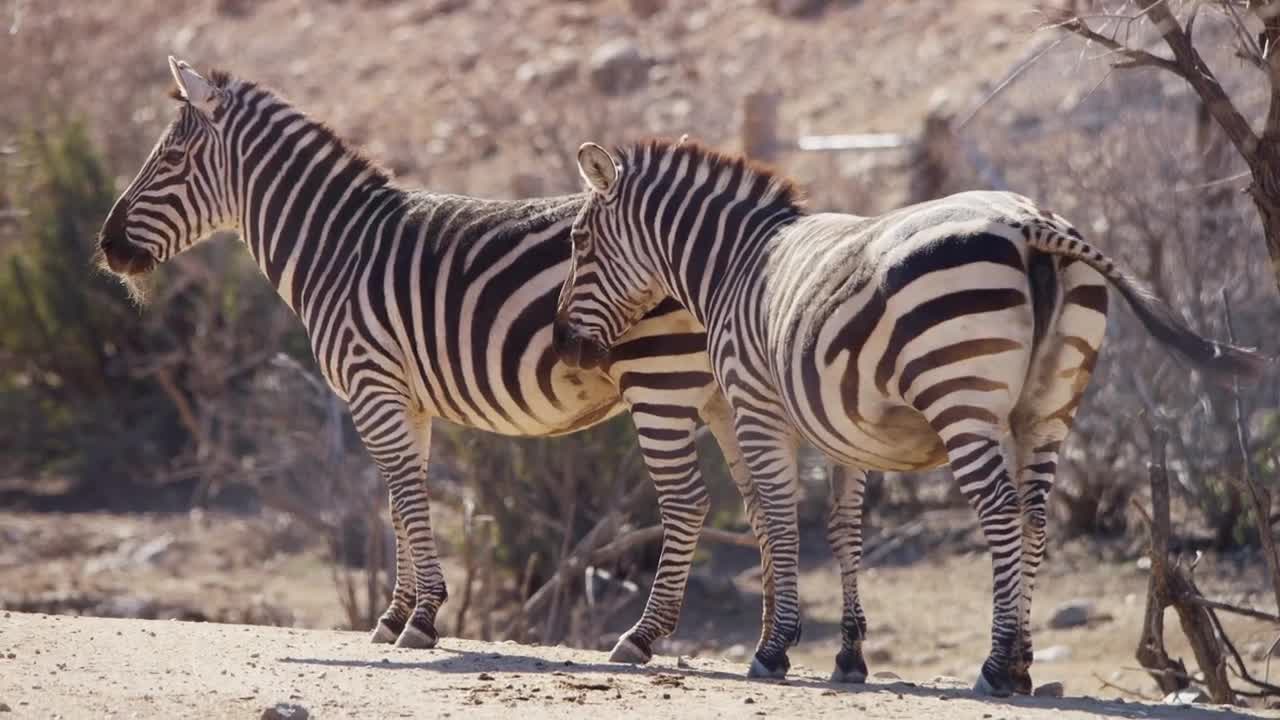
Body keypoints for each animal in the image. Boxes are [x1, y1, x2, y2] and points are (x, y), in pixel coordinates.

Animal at [93, 58, 871, 667]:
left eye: (168, 161)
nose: (107, 248)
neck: (336, 246)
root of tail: (762, 245)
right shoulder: (404, 399)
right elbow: (399, 499)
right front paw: (394, 616)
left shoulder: (373, 386)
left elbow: (407, 497)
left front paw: (423, 619)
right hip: (722, 392)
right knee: (767, 503)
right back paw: (782, 644)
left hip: (660, 383)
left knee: (688, 503)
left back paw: (644, 638)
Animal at [552, 139, 1267, 693]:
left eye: (580, 242)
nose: (564, 345)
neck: (733, 262)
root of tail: (1027, 222)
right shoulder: (841, 430)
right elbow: (843, 531)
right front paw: (848, 656)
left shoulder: (759, 408)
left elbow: (781, 521)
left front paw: (774, 649)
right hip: (1048, 407)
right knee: (1035, 519)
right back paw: (1022, 663)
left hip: (962, 396)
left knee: (1001, 513)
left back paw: (995, 666)